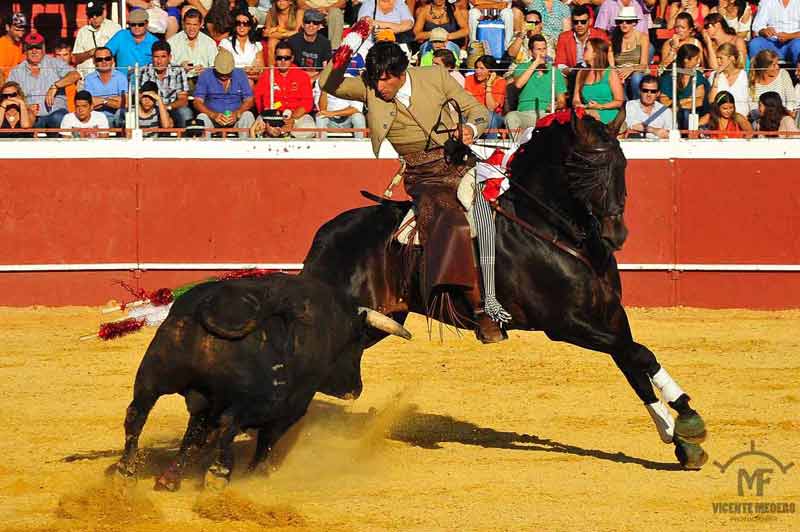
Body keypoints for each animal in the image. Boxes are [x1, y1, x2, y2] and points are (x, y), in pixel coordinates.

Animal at [104, 272, 412, 488]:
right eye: (359, 343)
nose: (354, 389)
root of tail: (214, 306)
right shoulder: (293, 405)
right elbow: (266, 439)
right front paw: (256, 472)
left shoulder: (204, 402)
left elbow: (193, 435)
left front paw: (171, 477)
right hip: (255, 398)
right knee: (230, 424)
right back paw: (219, 474)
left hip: (153, 375)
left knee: (137, 415)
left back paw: (126, 472)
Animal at [304, 110, 708, 468]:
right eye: (584, 169)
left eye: (622, 164)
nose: (617, 234)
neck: (550, 228)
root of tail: (325, 235)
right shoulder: (566, 325)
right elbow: (640, 355)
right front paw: (688, 420)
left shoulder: (610, 315)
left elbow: (633, 365)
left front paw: (680, 441)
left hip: (382, 321)